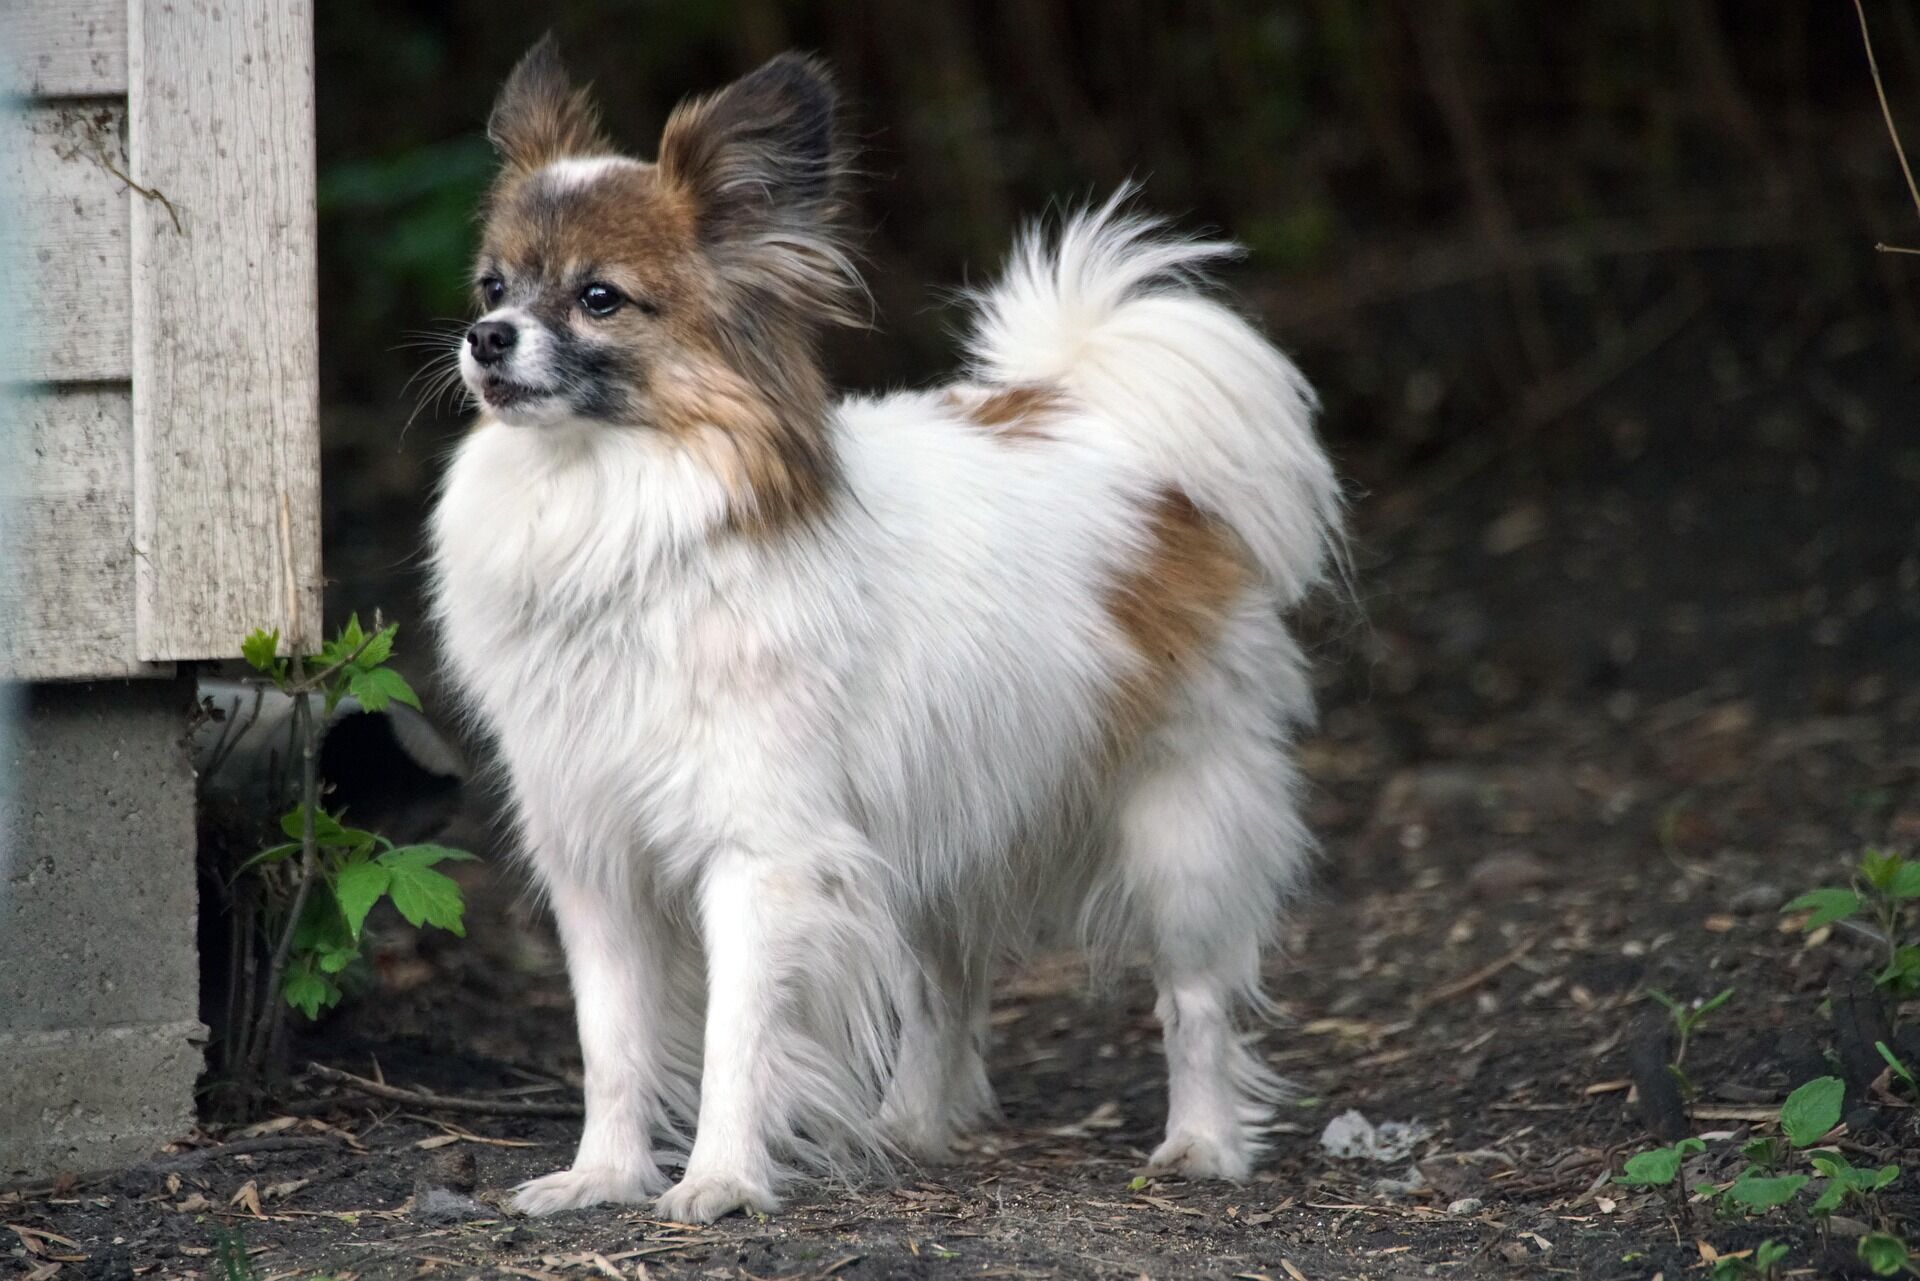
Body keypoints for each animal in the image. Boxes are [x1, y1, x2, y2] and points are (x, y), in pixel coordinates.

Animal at [428, 37, 1344, 1221]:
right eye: (492, 287)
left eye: (599, 299)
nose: (484, 339)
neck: (619, 511)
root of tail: (1099, 412)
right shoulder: (599, 866)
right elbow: (612, 1045)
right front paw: (604, 1176)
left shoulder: (759, 856)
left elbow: (735, 1039)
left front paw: (719, 1180)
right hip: (938, 824)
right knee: (948, 986)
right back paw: (914, 1126)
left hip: (1180, 828)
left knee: (1193, 998)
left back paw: (1201, 1143)